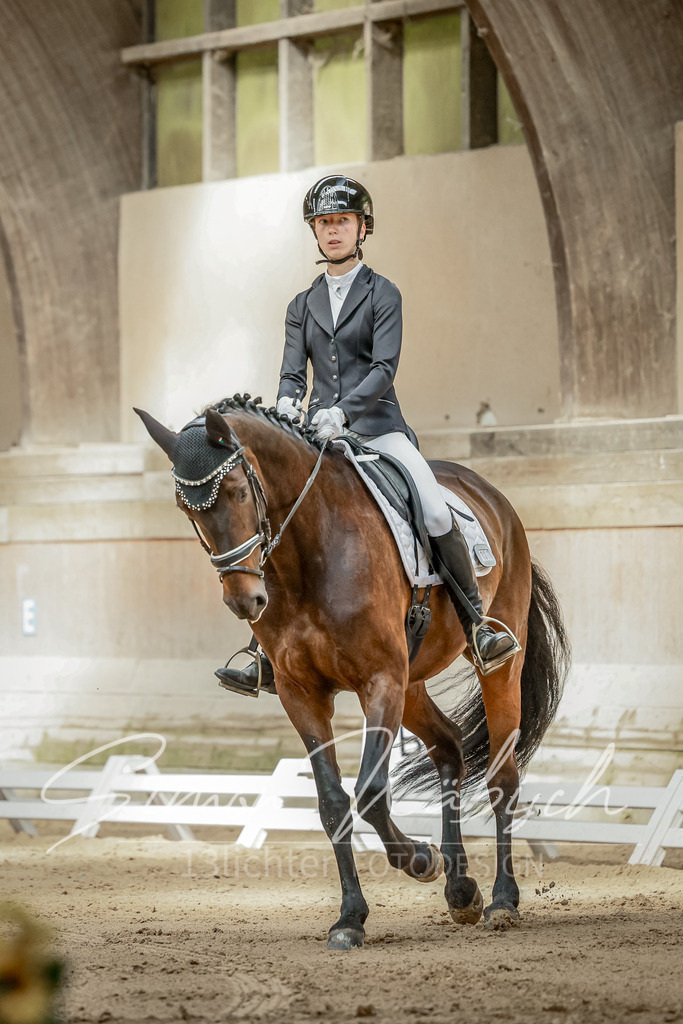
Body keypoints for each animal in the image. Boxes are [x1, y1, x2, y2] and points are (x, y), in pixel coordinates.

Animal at [136, 395, 570, 949]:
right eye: (185, 509)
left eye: (237, 491)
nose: (244, 600)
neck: (308, 554)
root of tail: (493, 496)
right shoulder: (302, 694)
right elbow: (332, 802)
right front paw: (350, 918)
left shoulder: (378, 681)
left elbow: (370, 793)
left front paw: (419, 859)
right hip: (412, 683)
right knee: (449, 747)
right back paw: (461, 890)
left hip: (493, 667)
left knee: (502, 776)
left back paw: (501, 900)